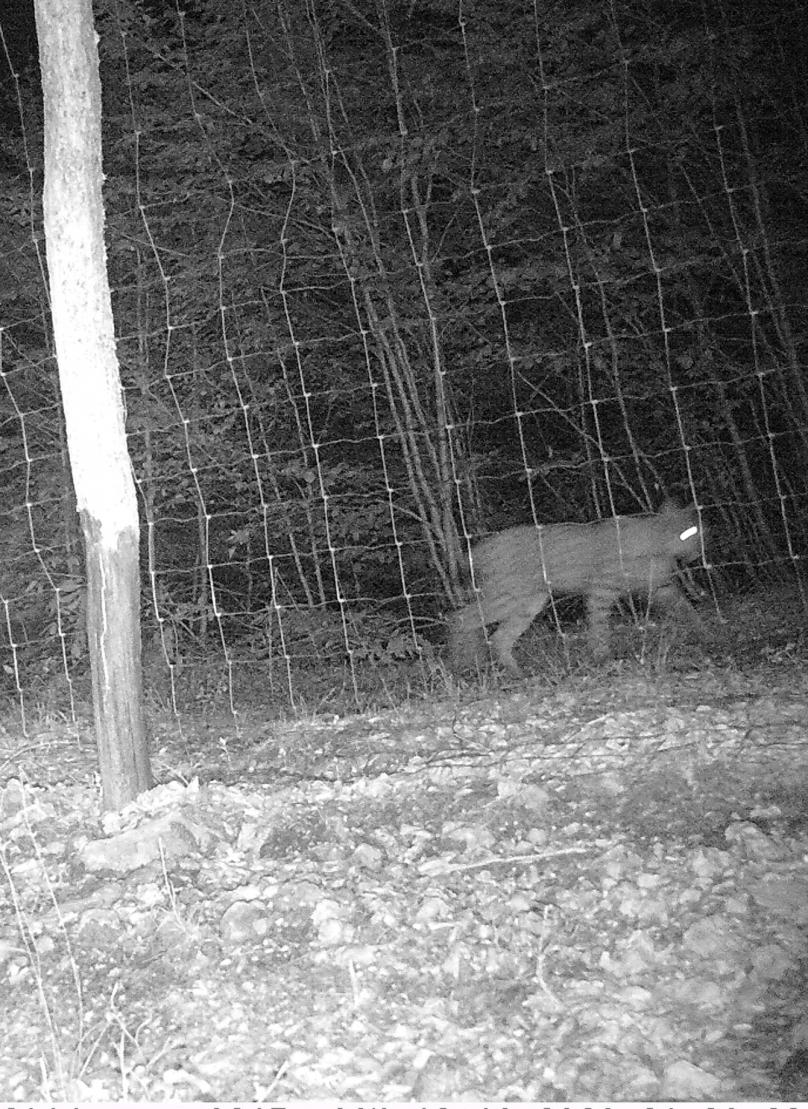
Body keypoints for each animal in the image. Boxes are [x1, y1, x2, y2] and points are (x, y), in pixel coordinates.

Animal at [447, 503, 704, 674]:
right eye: (696, 534)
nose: (699, 553)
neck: (657, 537)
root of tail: (479, 547)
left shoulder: (661, 587)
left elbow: (685, 606)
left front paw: (706, 633)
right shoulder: (601, 591)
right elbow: (599, 625)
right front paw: (602, 656)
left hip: (530, 601)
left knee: (499, 636)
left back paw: (514, 672)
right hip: (509, 594)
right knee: (462, 617)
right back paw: (465, 664)